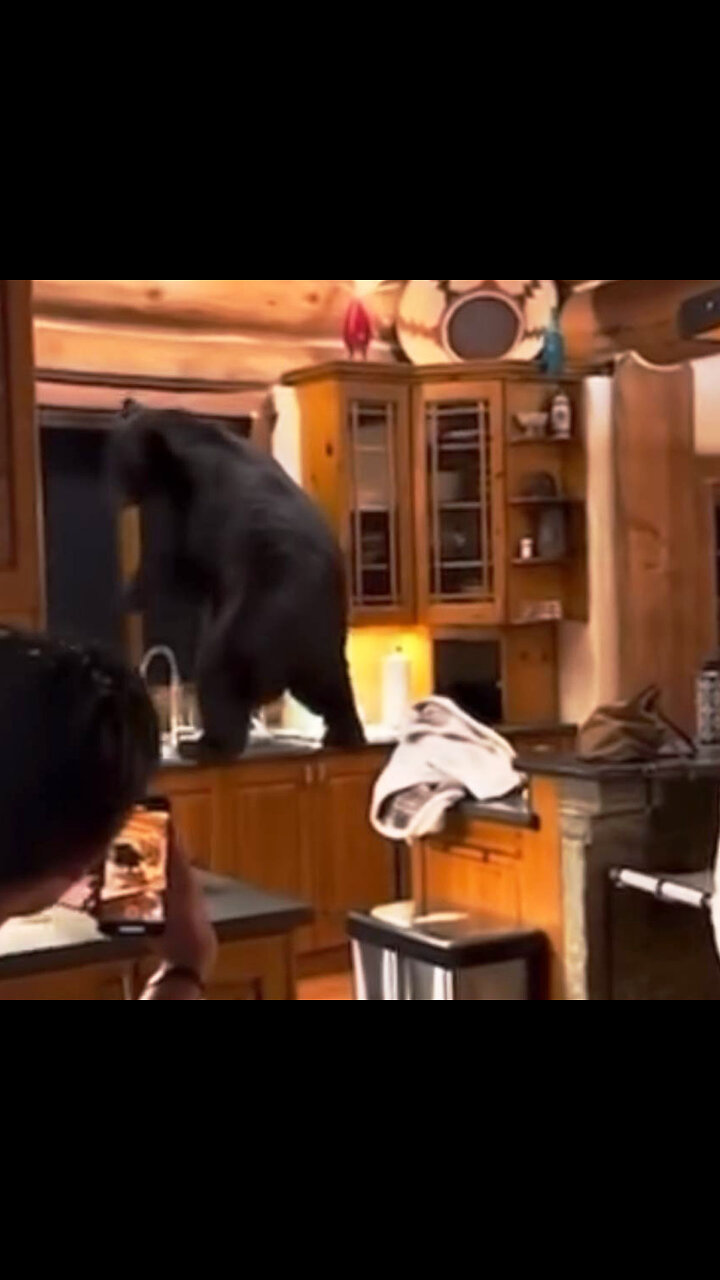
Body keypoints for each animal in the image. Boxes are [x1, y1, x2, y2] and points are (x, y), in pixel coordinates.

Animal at [111, 402, 365, 757]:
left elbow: (165, 565)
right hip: (322, 644)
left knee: (219, 673)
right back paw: (345, 734)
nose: (117, 490)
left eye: (118, 455)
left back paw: (204, 745)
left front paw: (126, 595)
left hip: (253, 618)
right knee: (330, 687)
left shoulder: (178, 505)